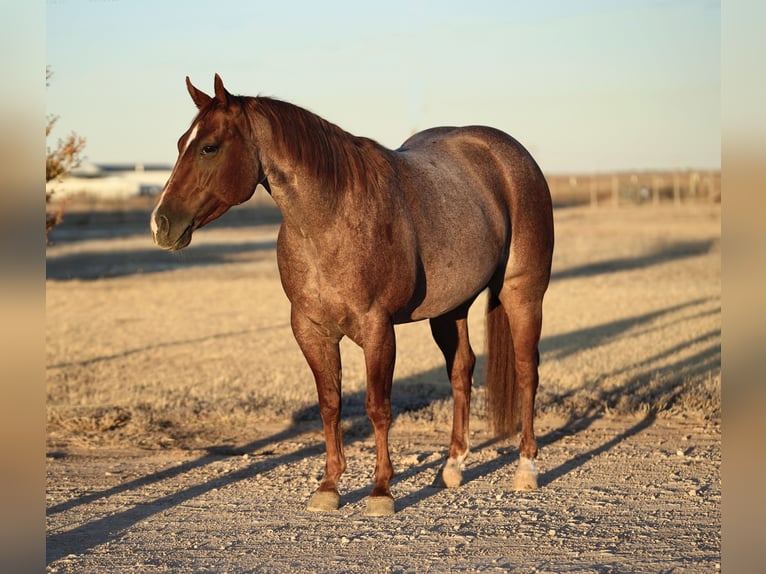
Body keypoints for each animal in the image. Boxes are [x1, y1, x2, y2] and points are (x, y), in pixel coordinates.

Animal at [152, 74, 560, 520]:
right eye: (180, 143)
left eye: (209, 147)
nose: (160, 224)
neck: (332, 219)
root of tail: (510, 154)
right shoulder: (311, 331)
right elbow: (330, 404)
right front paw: (329, 486)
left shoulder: (377, 329)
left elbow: (377, 407)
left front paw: (381, 491)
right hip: (451, 308)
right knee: (461, 372)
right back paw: (452, 467)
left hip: (523, 293)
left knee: (526, 371)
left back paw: (526, 468)